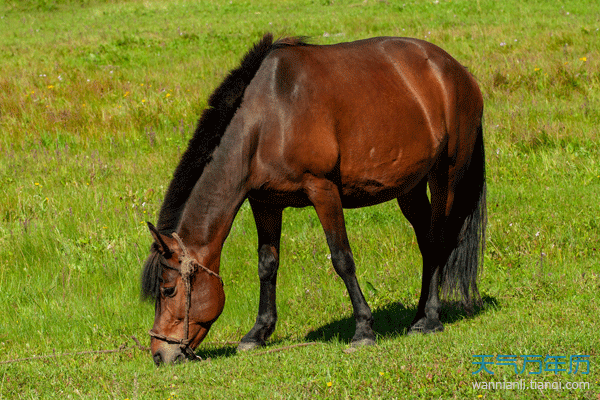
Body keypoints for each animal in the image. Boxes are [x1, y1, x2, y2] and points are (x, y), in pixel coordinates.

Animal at [142, 33, 488, 366]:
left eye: (168, 289)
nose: (159, 354)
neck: (269, 116)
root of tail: (458, 72)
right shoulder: (265, 202)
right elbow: (267, 265)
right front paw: (257, 333)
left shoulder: (323, 191)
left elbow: (342, 259)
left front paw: (363, 329)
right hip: (409, 187)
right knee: (427, 243)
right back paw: (417, 317)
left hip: (445, 175)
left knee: (439, 240)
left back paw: (431, 318)